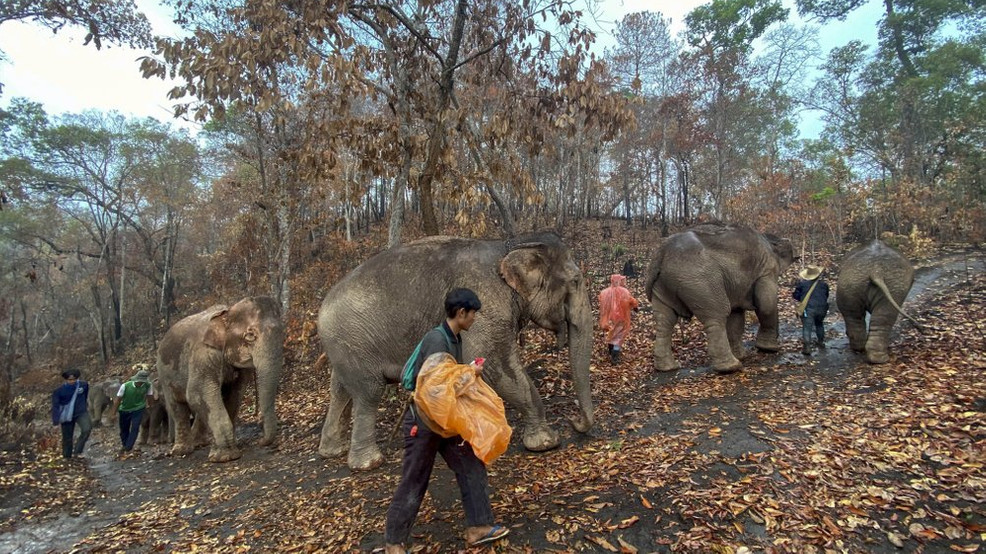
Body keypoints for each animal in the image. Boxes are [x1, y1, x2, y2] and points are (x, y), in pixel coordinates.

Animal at [156, 296, 282, 460]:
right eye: (250, 336)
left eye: (282, 332)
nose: (261, 441)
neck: (226, 313)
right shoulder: (203, 355)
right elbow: (196, 393)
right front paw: (226, 457)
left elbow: (234, 395)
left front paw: (230, 450)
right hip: (164, 373)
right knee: (177, 407)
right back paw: (181, 451)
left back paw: (199, 443)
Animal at [316, 231, 592, 468]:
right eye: (576, 280)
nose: (574, 421)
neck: (510, 245)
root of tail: (320, 312)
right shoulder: (486, 310)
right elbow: (496, 367)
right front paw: (546, 442)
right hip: (354, 340)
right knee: (368, 393)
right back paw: (368, 463)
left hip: (345, 348)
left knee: (340, 390)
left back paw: (332, 451)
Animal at [640, 221, 796, 370]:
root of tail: (661, 253)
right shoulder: (767, 269)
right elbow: (766, 304)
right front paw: (770, 349)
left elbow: (736, 315)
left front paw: (743, 356)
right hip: (702, 281)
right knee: (717, 315)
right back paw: (731, 367)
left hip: (662, 285)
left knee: (665, 321)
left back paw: (668, 368)